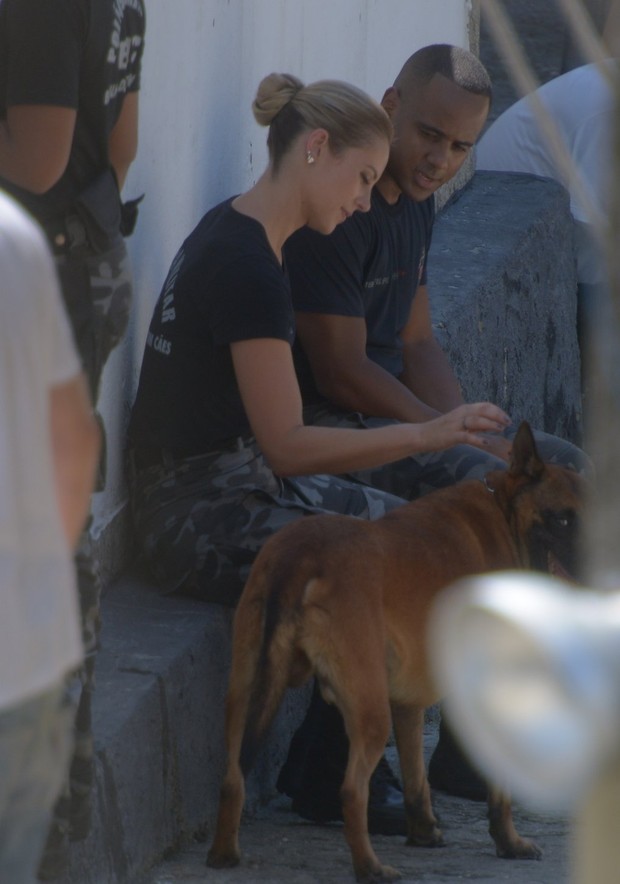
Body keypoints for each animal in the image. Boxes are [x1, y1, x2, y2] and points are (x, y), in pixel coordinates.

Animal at [206, 424, 584, 880]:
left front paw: (422, 831)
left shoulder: (407, 703)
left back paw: (223, 853)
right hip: (369, 713)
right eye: (562, 518)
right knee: (352, 791)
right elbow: (497, 789)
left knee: (232, 778)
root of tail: (301, 556)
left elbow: (416, 776)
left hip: (247, 694)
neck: (503, 510)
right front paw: (508, 841)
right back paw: (370, 867)